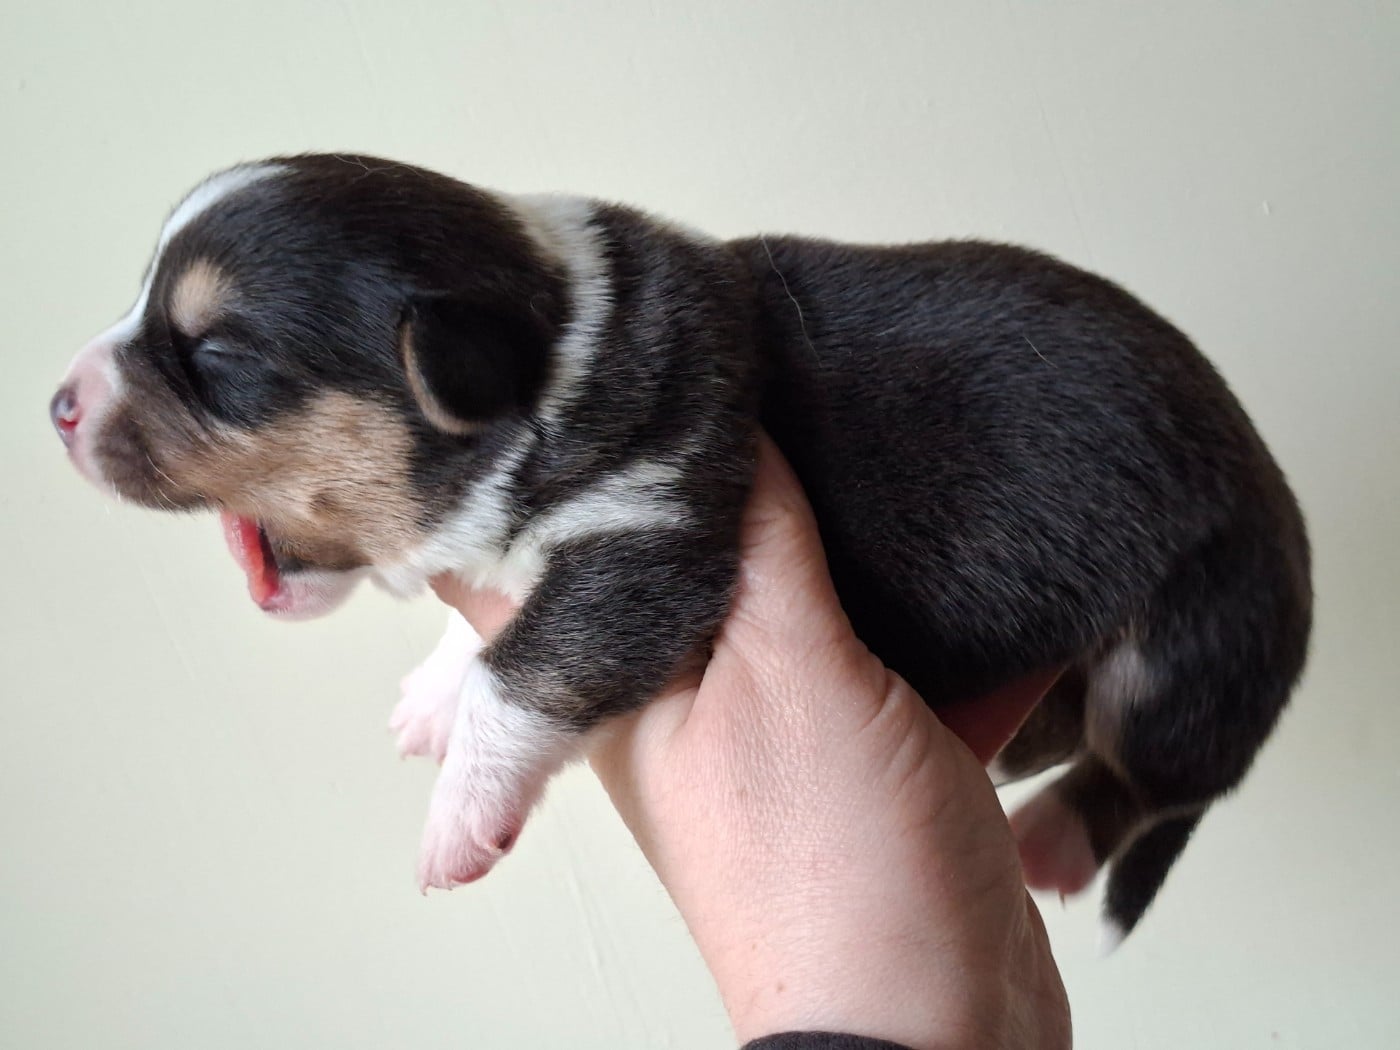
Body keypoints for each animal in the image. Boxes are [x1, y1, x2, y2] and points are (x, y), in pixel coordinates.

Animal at [51, 154, 1311, 943]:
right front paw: (431, 693)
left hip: (1192, 633)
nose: (55, 402)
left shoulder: (653, 532)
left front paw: (457, 821)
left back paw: (1048, 843)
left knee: (1157, 774)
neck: (554, 349)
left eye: (217, 354)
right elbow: (500, 630)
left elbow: (529, 666)